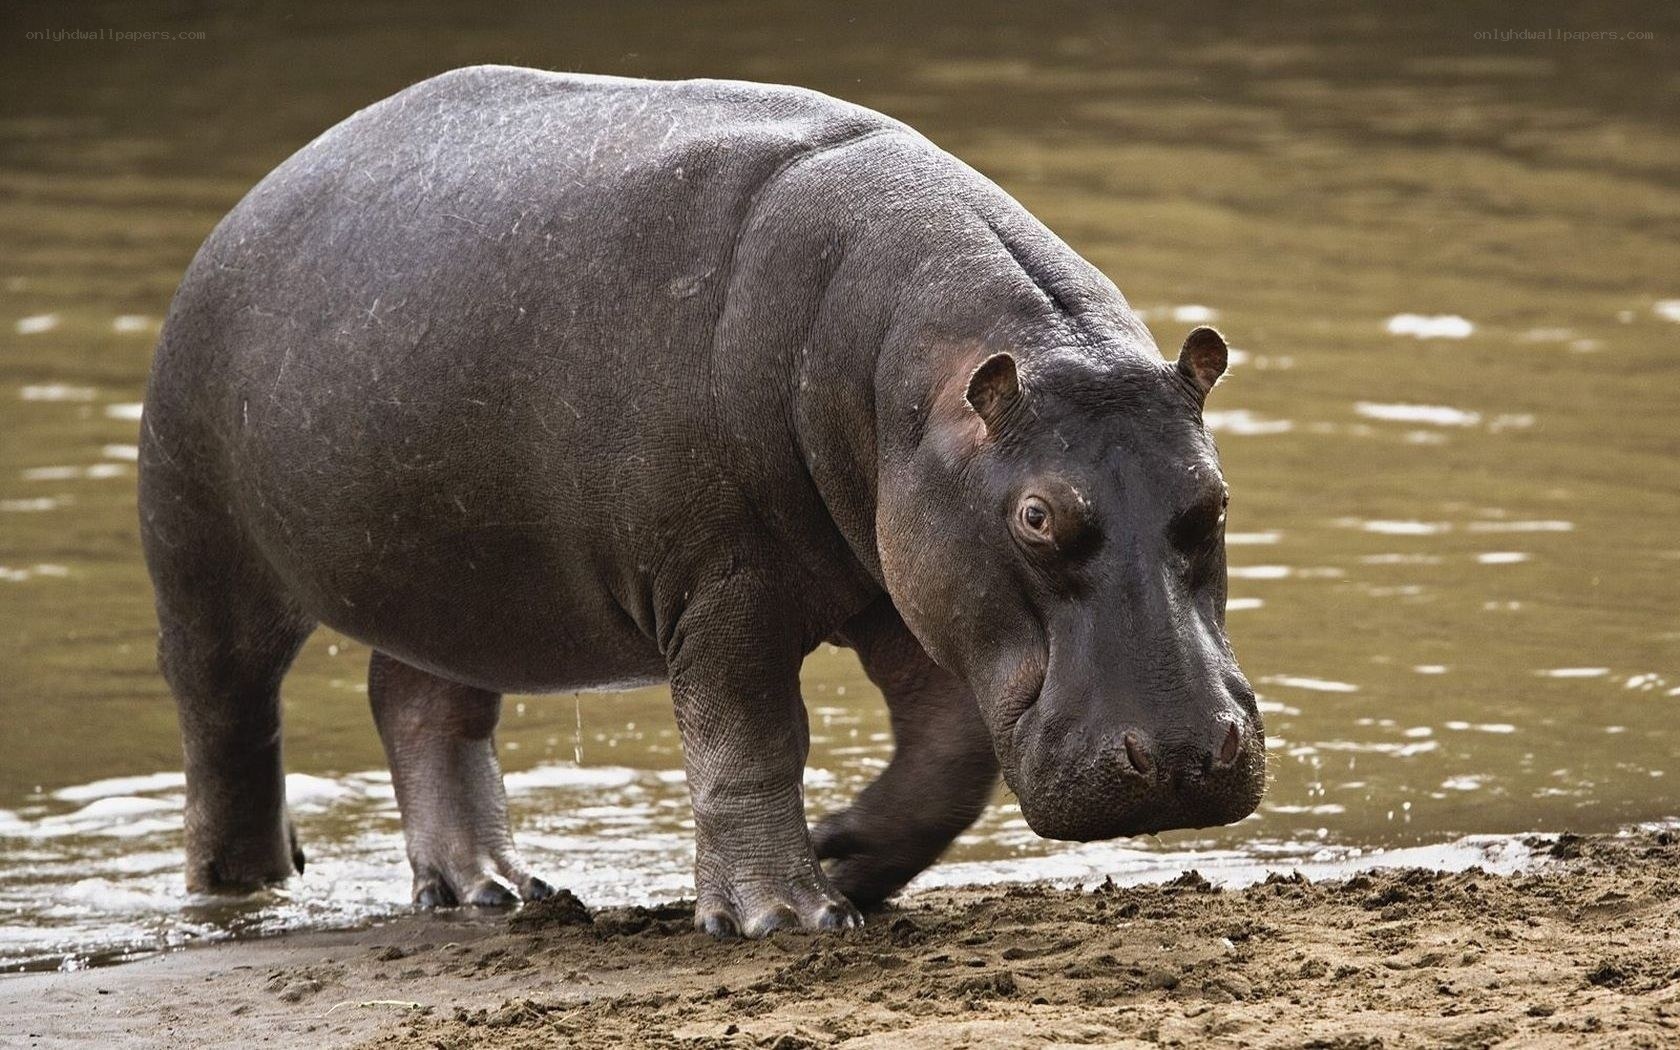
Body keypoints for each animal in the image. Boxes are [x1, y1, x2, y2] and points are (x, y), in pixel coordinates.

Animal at [138, 66, 1264, 938]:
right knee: (226, 729)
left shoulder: (906, 585)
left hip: (453, 581)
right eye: (1037, 517)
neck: (911, 380)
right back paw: (242, 891)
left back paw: (490, 890)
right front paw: (786, 917)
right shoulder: (725, 589)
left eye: (1213, 499)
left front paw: (842, 855)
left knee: (420, 705)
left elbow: (950, 755)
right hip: (204, 554)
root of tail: (253, 200)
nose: (1180, 757)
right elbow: (751, 743)